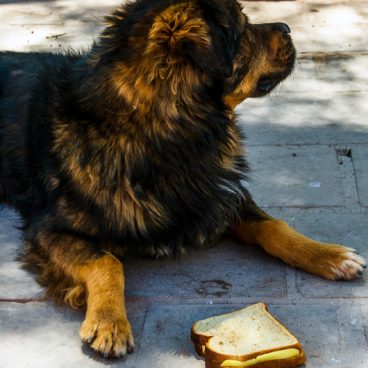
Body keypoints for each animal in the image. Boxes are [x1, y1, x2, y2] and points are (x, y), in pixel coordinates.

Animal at [0, 0, 366, 360]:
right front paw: (109, 321)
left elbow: (274, 227)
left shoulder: (219, 195)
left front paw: (328, 255)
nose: (288, 28)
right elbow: (106, 261)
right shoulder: (49, 229)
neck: (167, 136)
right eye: (242, 29)